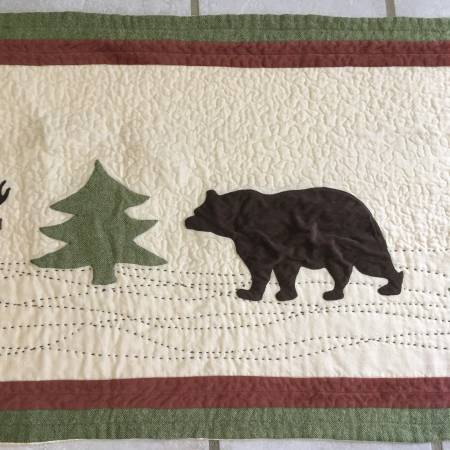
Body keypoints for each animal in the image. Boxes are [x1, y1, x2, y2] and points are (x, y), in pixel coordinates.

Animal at [185, 188, 403, 302]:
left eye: (197, 212)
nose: (186, 220)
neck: (236, 222)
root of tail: (365, 210)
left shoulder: (256, 239)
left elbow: (260, 268)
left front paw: (248, 293)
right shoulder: (286, 249)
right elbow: (286, 272)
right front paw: (286, 294)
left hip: (355, 236)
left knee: (372, 262)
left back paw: (391, 287)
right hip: (335, 249)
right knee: (341, 268)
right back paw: (334, 293)